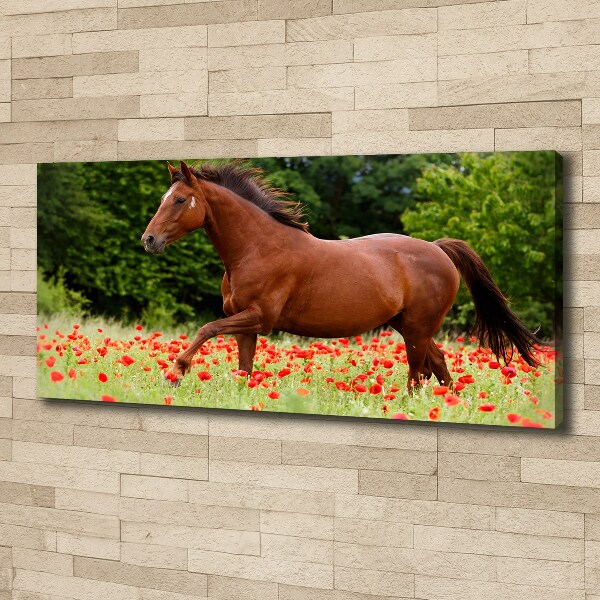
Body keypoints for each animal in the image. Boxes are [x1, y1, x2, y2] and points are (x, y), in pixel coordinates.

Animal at [143, 162, 540, 392]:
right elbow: (244, 368)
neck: (258, 247)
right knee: (438, 366)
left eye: (179, 200)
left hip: (417, 327)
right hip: (409, 325)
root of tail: (439, 249)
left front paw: (175, 373)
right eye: (164, 197)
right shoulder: (245, 324)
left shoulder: (259, 318)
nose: (149, 240)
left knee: (417, 374)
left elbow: (206, 328)